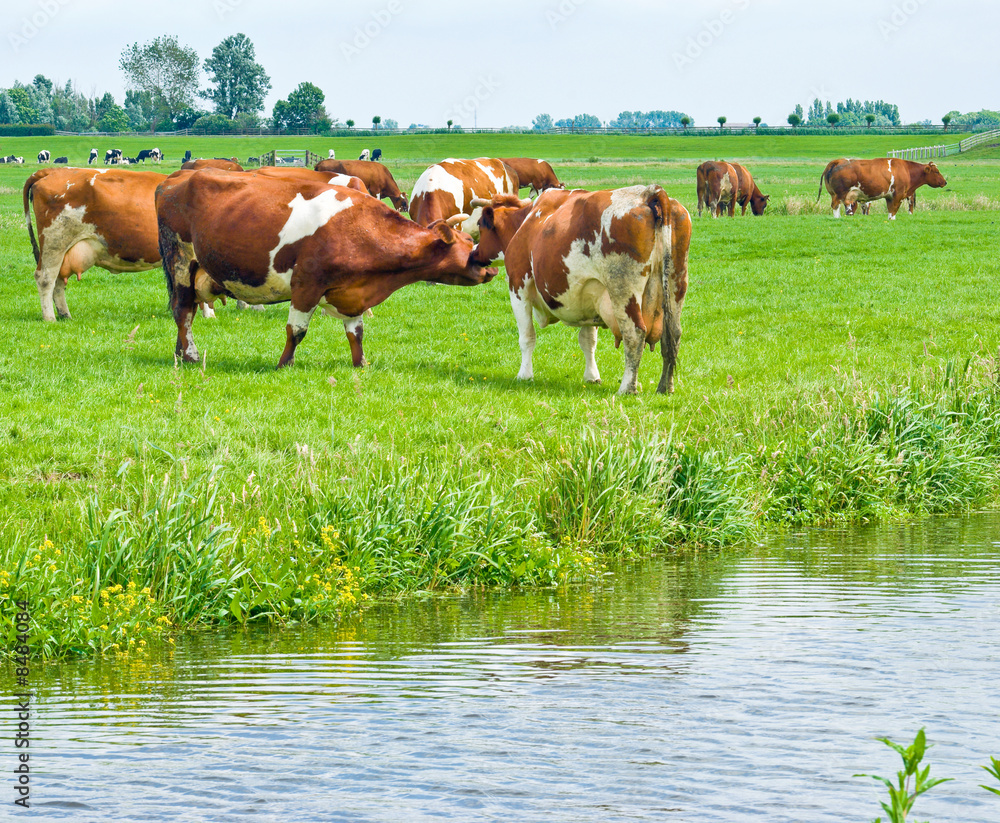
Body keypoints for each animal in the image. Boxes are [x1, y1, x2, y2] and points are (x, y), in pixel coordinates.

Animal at [155, 169, 497, 369]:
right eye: (467, 247)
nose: (491, 270)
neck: (358, 228)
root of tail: (173, 180)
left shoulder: (352, 292)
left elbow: (356, 334)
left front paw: (361, 365)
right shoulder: (306, 285)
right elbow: (296, 330)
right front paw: (283, 364)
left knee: (187, 312)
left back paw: (180, 352)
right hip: (181, 262)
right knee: (182, 310)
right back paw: (191, 355)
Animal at [470, 185, 692, 395]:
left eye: (481, 225)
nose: (473, 254)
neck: (525, 223)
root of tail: (648, 193)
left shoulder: (518, 287)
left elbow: (527, 337)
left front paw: (524, 375)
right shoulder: (591, 292)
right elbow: (588, 341)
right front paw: (592, 376)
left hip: (623, 290)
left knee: (634, 334)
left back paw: (627, 388)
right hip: (676, 284)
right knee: (673, 335)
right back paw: (665, 387)